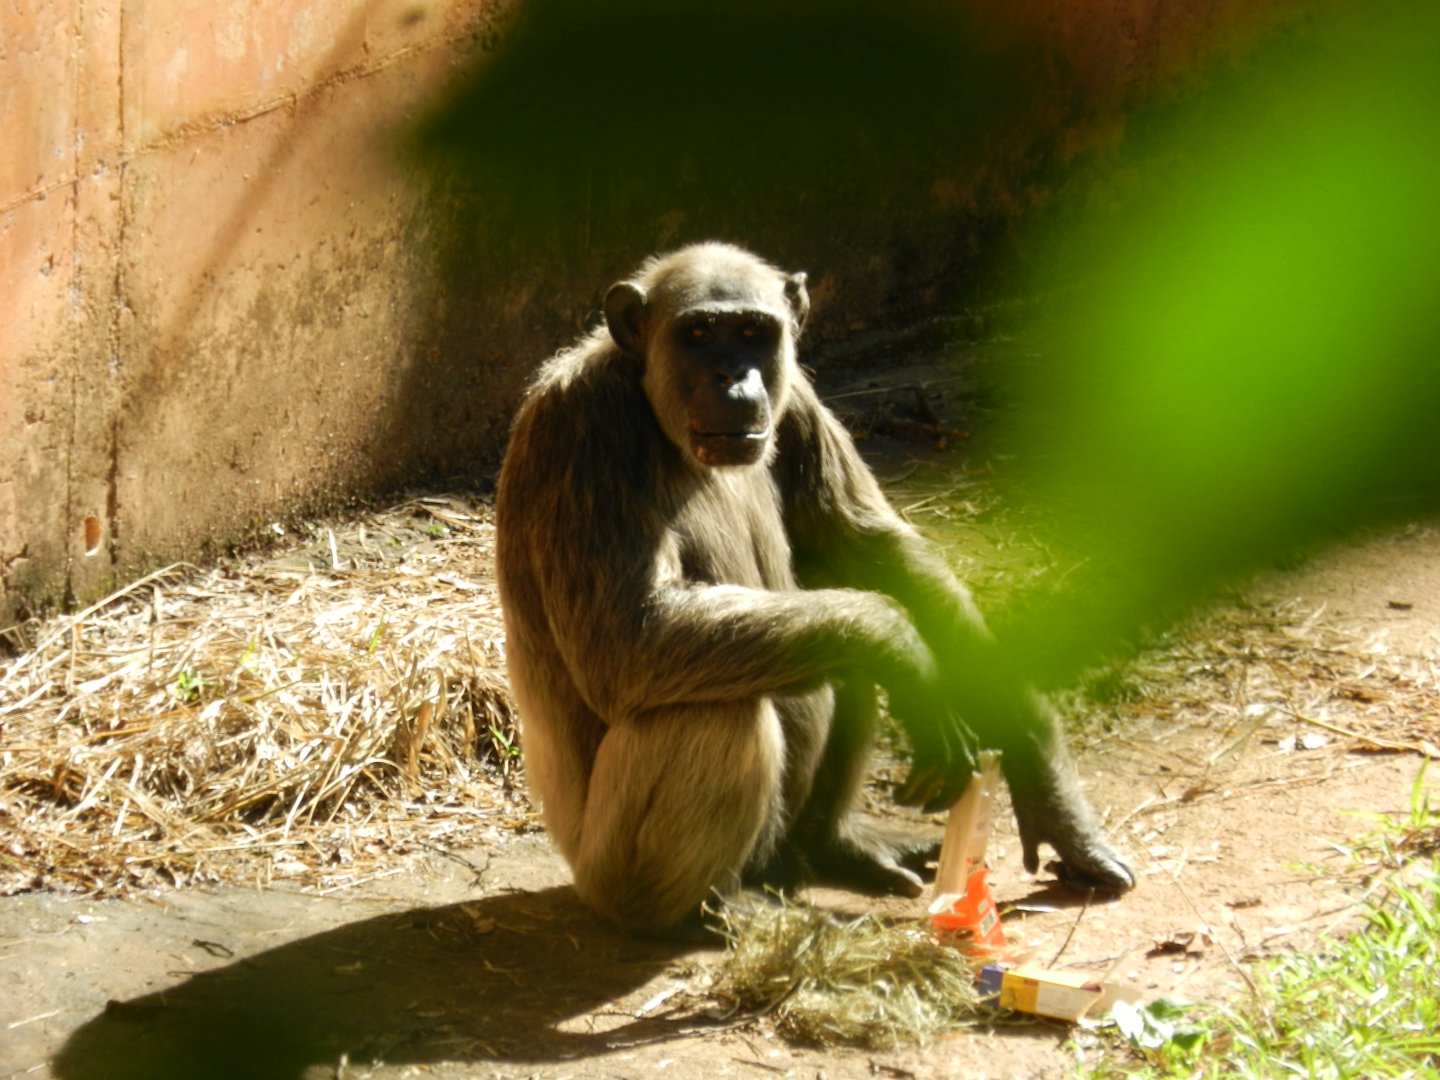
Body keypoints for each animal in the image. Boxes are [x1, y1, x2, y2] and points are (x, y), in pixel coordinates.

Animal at [495, 242, 1133, 934]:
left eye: (753, 333)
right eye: (698, 334)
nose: (732, 376)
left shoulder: (797, 397)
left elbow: (876, 549)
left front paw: (1048, 791)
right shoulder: (585, 433)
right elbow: (626, 634)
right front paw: (907, 655)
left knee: (828, 626)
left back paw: (836, 844)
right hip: (606, 872)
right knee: (717, 712)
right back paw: (711, 909)